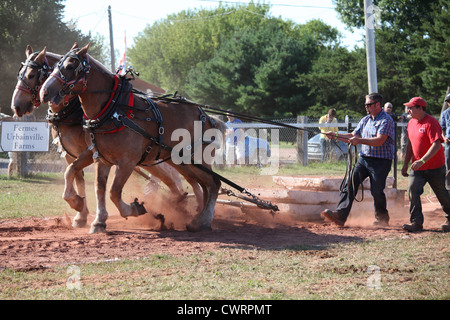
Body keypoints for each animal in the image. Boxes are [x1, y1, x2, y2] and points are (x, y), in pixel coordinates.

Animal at [12, 45, 199, 232]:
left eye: (31, 75)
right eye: (19, 73)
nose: (16, 106)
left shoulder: (89, 153)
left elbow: (71, 173)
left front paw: (78, 205)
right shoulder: (71, 155)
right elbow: (76, 177)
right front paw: (81, 214)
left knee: (172, 176)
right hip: (146, 158)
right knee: (168, 178)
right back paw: (180, 203)